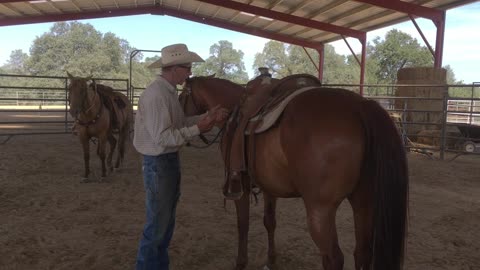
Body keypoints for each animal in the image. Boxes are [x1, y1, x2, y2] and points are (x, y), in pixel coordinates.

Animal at [180, 75, 408, 270]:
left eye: (182, 96)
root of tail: (360, 107)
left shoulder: (240, 186)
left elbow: (242, 224)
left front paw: (241, 263)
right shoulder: (269, 187)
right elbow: (269, 222)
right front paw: (271, 260)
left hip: (320, 210)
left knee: (333, 258)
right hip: (364, 203)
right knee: (362, 253)